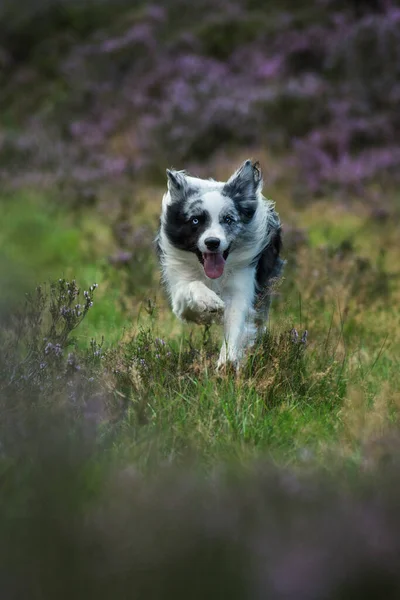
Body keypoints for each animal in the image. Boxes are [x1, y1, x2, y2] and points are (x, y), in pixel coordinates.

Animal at [156, 157, 284, 368]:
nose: (212, 242)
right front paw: (209, 302)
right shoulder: (179, 290)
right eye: (195, 220)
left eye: (228, 219)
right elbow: (192, 287)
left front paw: (227, 363)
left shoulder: (242, 284)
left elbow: (236, 322)